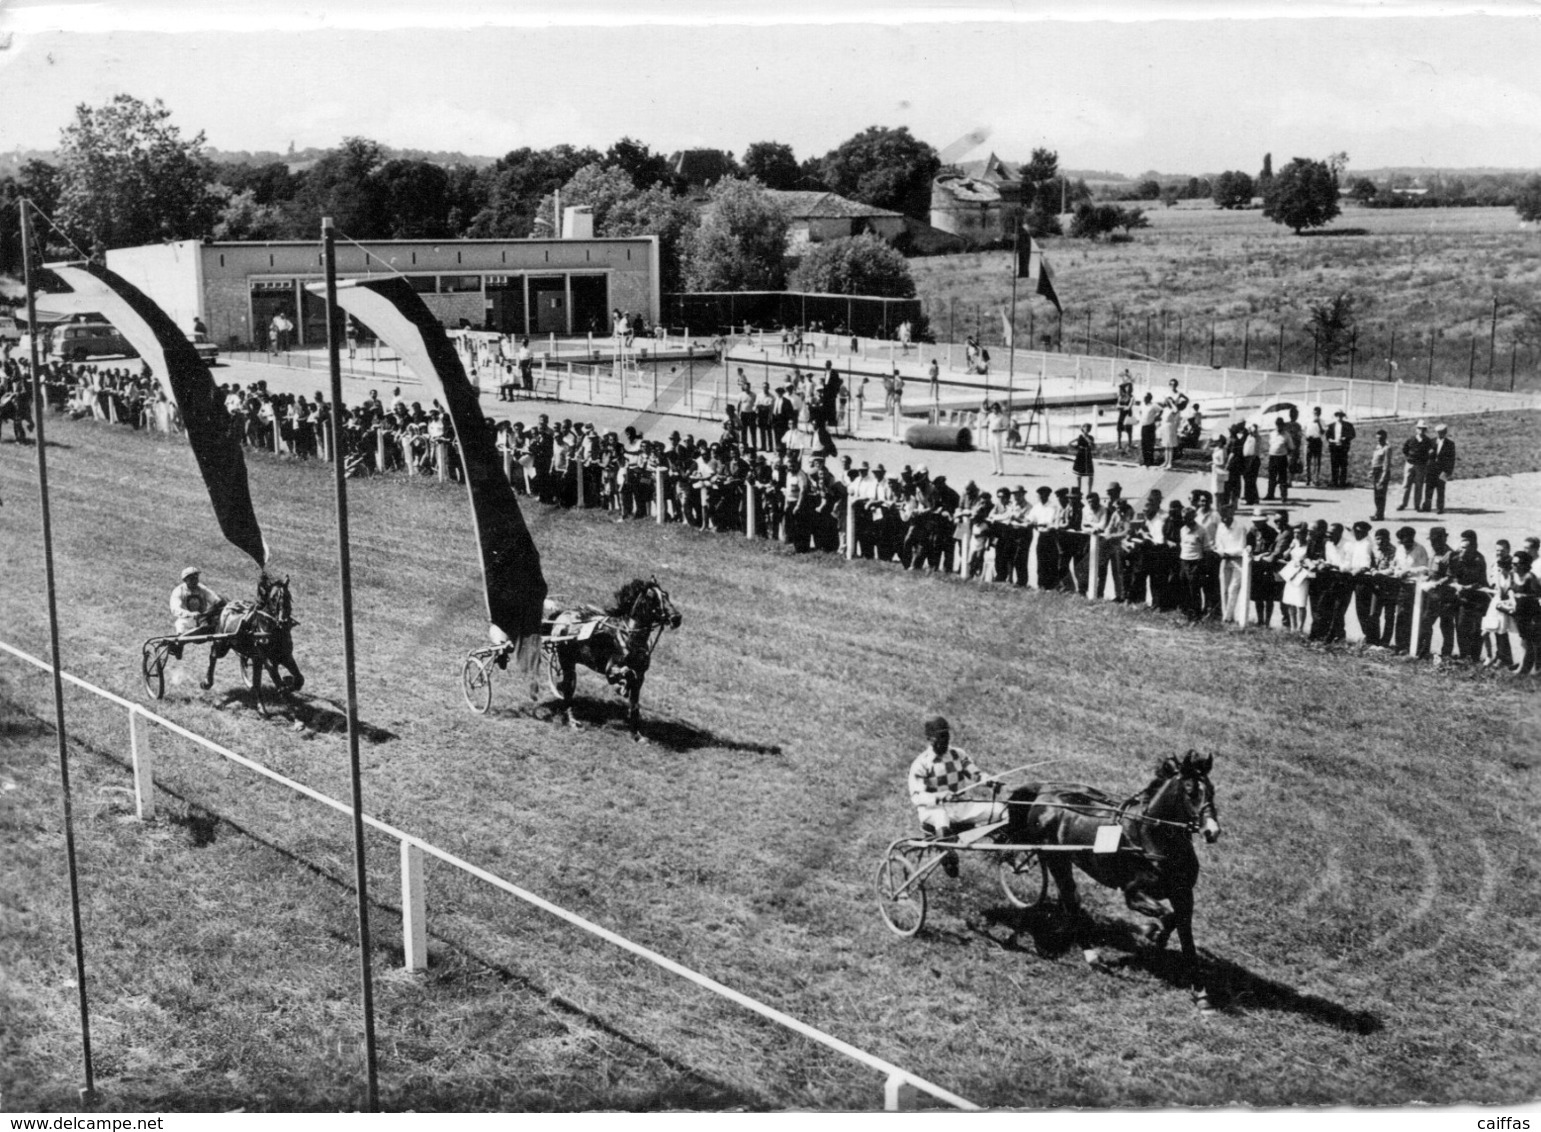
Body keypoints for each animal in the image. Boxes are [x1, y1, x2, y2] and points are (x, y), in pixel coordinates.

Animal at [203, 576, 302, 717]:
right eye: (273, 598)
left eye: (288, 596)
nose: (283, 621)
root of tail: (228, 605)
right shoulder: (261, 657)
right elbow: (268, 677)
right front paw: (266, 704)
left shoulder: (285, 656)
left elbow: (299, 679)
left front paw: (288, 685)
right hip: (222, 643)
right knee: (213, 655)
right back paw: (207, 682)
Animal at [548, 576, 681, 745]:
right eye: (653, 599)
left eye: (666, 595)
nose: (676, 618)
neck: (630, 636)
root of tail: (562, 615)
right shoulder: (611, 669)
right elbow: (625, 674)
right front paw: (621, 687)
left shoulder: (641, 676)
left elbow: (635, 705)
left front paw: (637, 735)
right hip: (567, 661)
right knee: (568, 689)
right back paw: (572, 722)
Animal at [1004, 751, 1220, 998]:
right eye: (1189, 790)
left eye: (1212, 790)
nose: (1212, 831)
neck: (1150, 837)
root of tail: (1043, 790)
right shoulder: (1133, 893)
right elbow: (1167, 918)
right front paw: (1150, 933)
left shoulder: (1184, 894)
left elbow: (1185, 934)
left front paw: (1199, 990)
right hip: (1055, 858)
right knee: (1071, 900)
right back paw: (1092, 955)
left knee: (1068, 899)